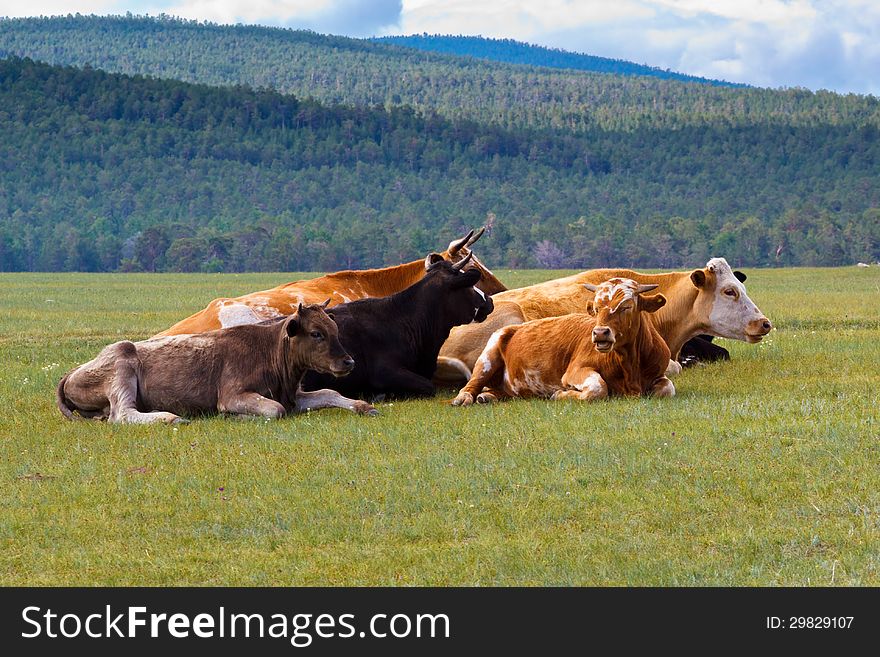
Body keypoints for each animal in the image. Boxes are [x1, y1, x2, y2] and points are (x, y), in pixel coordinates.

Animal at [57, 300, 374, 422]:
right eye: (316, 333)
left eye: (335, 330)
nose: (348, 362)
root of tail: (72, 371)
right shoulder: (233, 394)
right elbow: (275, 410)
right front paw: (235, 416)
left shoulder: (294, 395)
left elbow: (328, 392)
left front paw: (363, 405)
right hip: (122, 364)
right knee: (123, 414)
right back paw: (169, 417)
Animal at [454, 276, 672, 404]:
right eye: (596, 308)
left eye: (627, 306)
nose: (600, 333)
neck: (629, 365)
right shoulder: (574, 372)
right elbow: (598, 388)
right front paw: (560, 394)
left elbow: (667, 388)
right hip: (487, 358)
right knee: (471, 384)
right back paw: (464, 398)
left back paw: (487, 396)